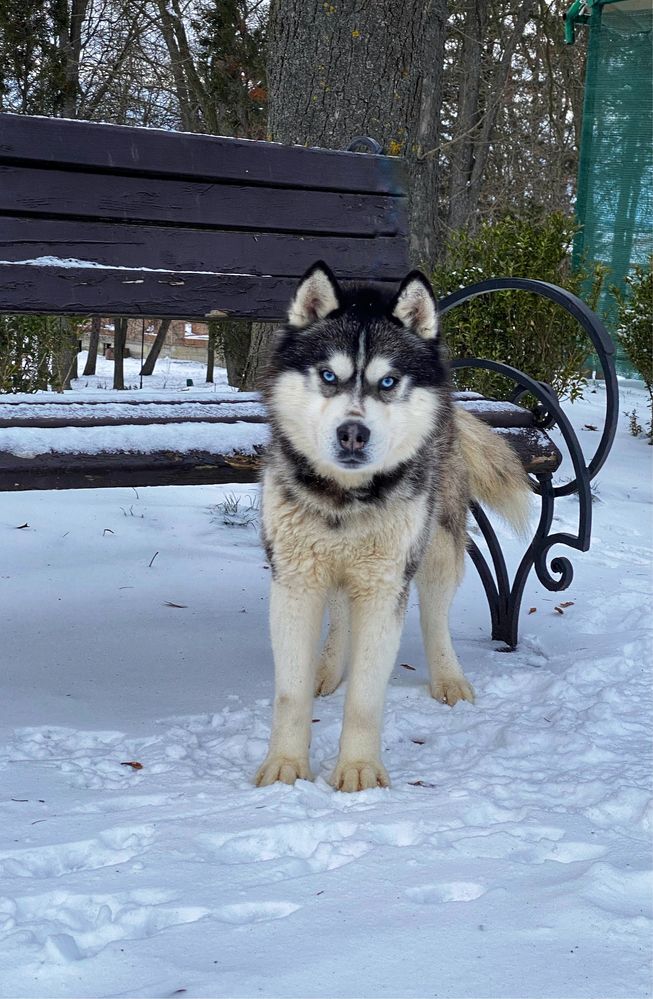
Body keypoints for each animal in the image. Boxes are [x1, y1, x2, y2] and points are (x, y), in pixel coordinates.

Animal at [255, 262, 528, 792]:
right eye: (328, 376)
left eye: (387, 382)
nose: (352, 433)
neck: (345, 498)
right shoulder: (295, 580)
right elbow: (289, 694)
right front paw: (286, 767)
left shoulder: (385, 585)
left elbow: (365, 697)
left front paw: (358, 770)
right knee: (341, 610)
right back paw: (327, 666)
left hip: (437, 545)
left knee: (435, 615)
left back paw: (447, 677)